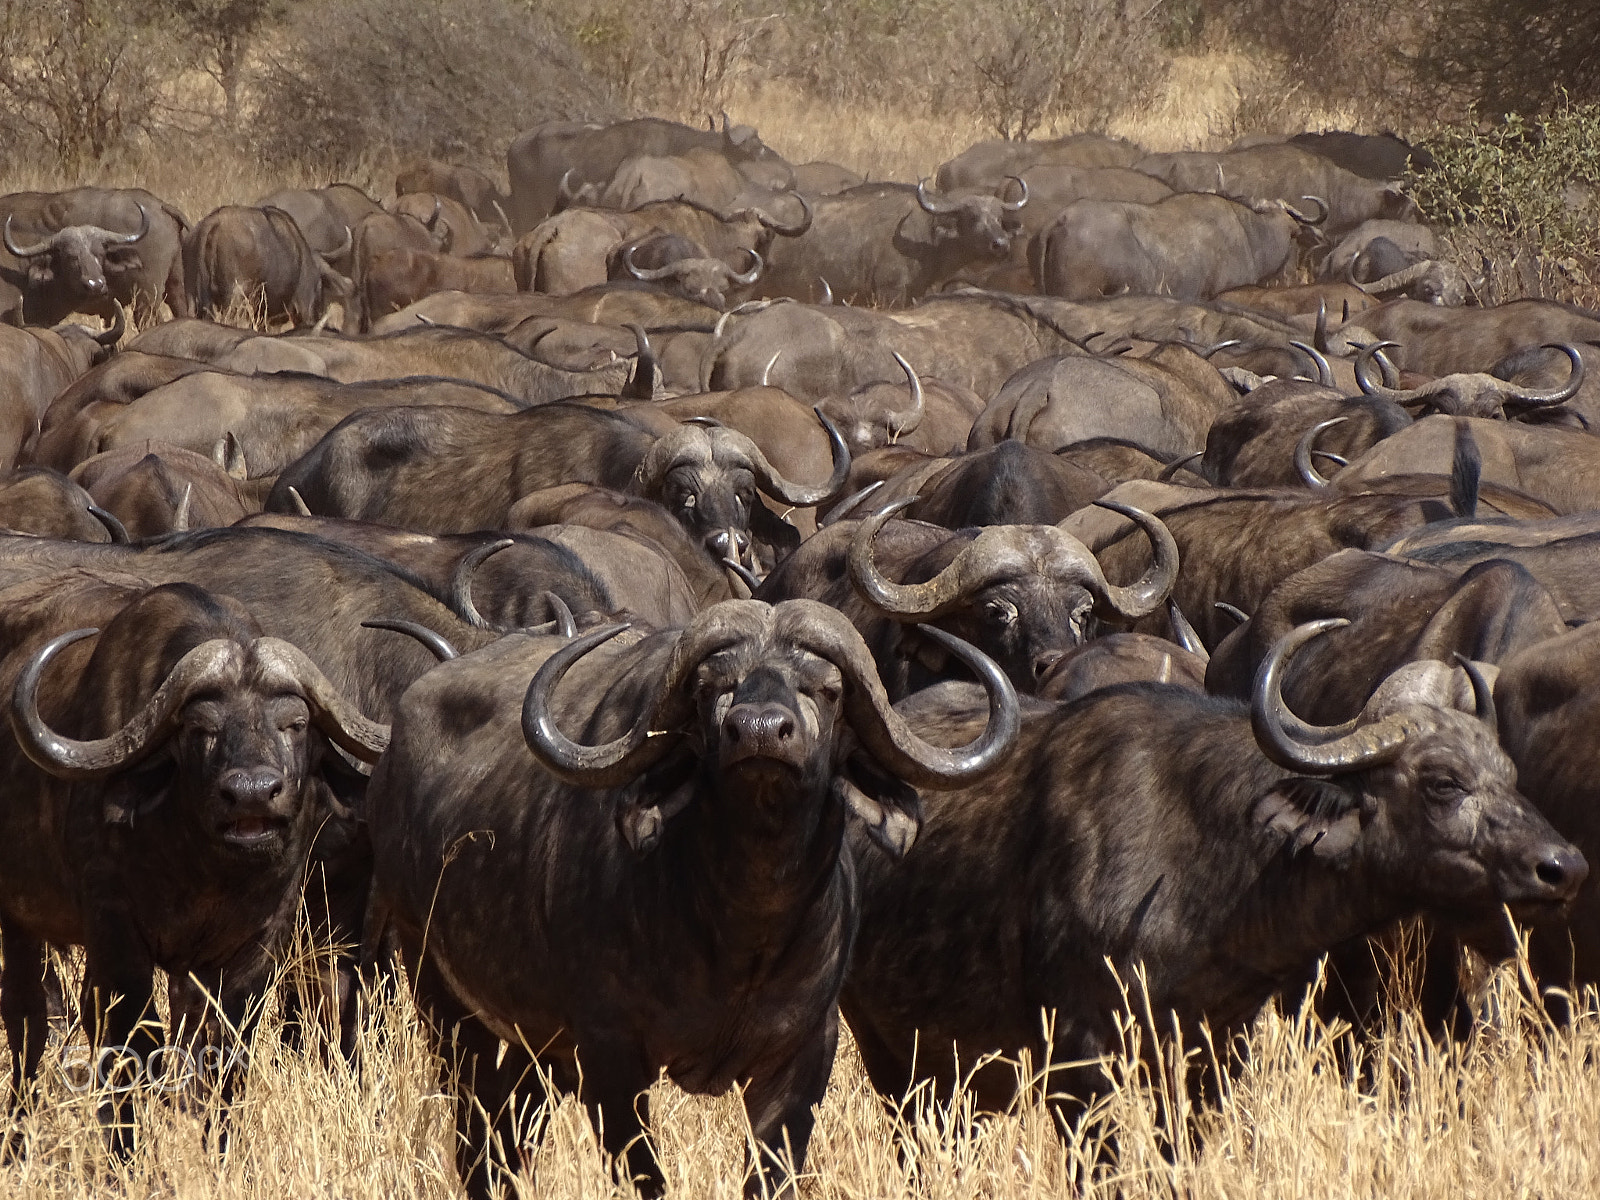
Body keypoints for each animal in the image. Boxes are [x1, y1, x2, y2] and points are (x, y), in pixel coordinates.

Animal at [368, 598, 1017, 1196]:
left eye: (827, 690)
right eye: (713, 688)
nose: (759, 732)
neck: (743, 935)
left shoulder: (803, 1059)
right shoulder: (609, 1057)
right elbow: (643, 1174)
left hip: (536, 1046)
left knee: (508, 1137)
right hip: (440, 997)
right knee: (475, 1136)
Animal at [844, 630, 1580, 1120]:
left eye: (1510, 775)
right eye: (1442, 781)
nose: (1562, 867)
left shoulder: (1214, 1058)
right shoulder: (1081, 1067)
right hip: (889, 1057)